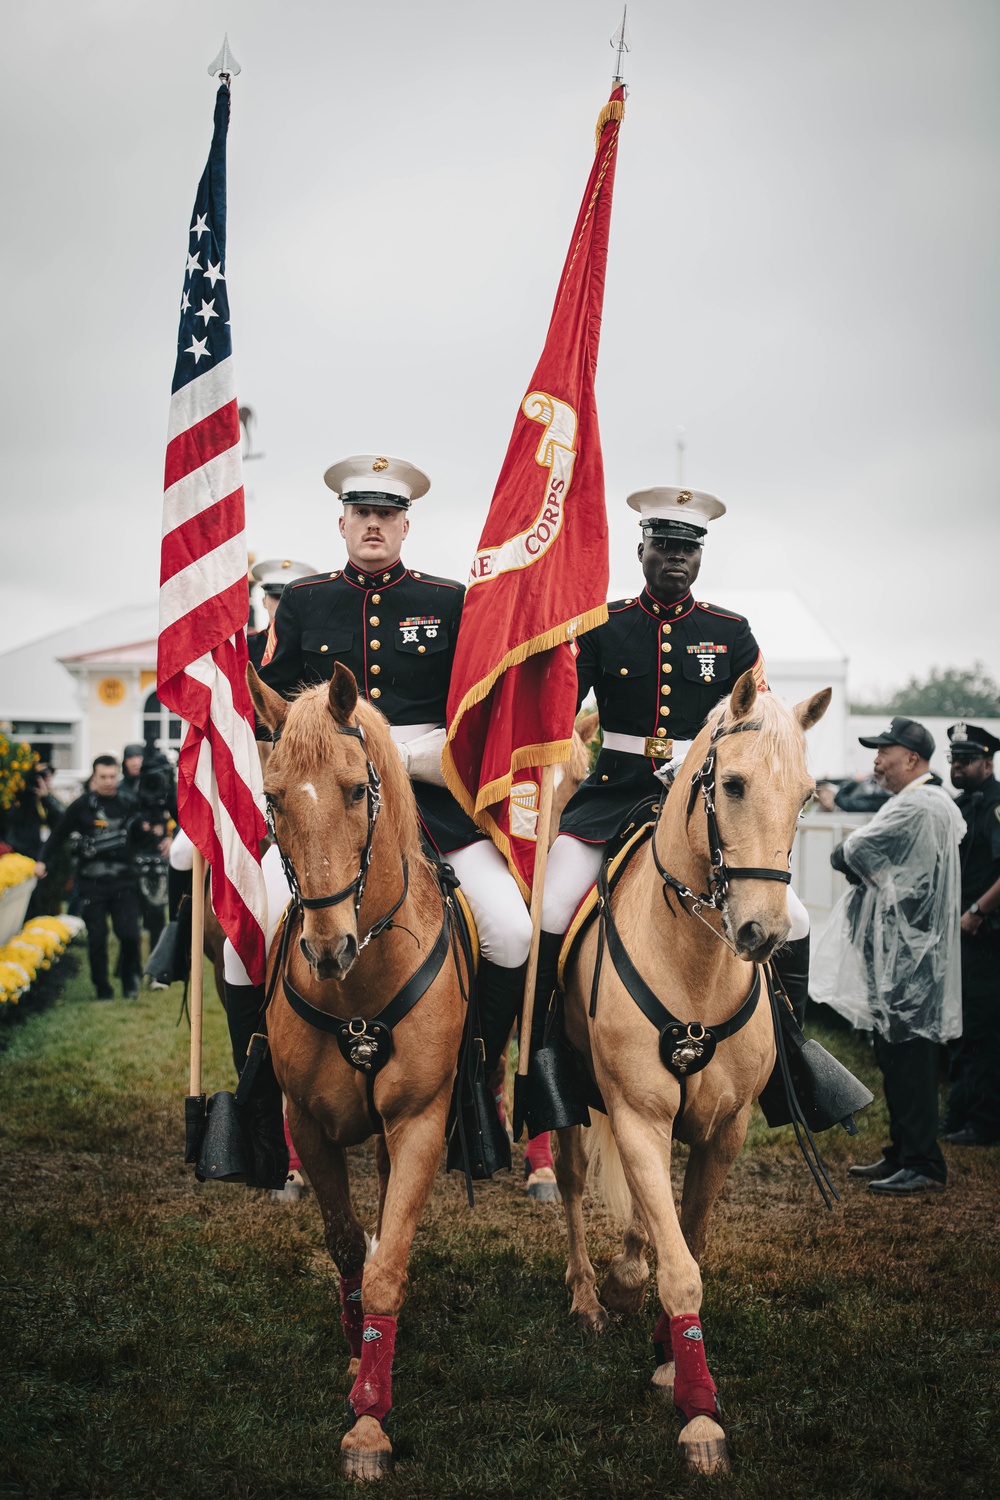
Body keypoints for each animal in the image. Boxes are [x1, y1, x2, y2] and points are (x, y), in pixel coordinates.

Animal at [248, 666, 470, 1476]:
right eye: (274, 796)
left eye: (353, 790)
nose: (327, 949)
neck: (360, 989)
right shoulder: (308, 1124)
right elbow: (346, 1244)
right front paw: (356, 1362)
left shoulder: (420, 1123)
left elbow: (388, 1263)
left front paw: (371, 1420)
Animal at [554, 678, 827, 1476]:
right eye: (731, 784)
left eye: (806, 794)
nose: (763, 934)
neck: (696, 963)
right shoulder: (637, 1114)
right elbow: (677, 1268)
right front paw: (699, 1413)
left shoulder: (724, 1129)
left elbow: (691, 1242)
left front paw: (670, 1358)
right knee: (574, 1181)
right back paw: (589, 1295)